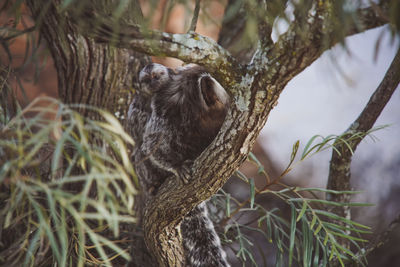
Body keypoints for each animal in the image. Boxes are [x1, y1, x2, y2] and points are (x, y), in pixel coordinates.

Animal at [130, 63, 230, 266]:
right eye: (148, 79)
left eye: (157, 76)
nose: (207, 80)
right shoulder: (166, 104)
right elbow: (151, 144)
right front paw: (177, 167)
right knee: (140, 151)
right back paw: (154, 184)